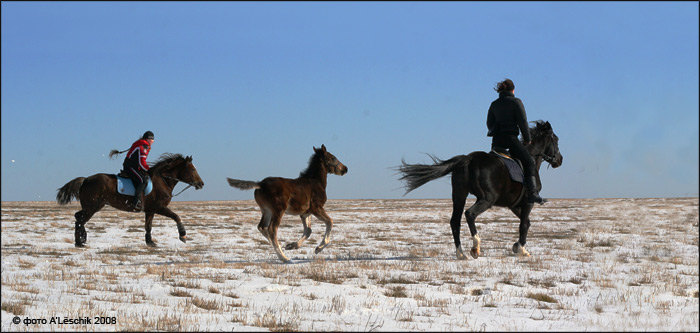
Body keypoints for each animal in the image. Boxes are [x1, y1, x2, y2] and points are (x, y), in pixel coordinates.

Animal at [56, 153, 204, 246]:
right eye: (192, 169)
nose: (201, 184)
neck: (162, 180)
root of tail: (86, 179)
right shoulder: (159, 207)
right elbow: (176, 216)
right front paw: (183, 236)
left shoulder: (150, 210)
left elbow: (148, 226)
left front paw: (150, 242)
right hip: (92, 207)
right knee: (80, 220)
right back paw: (80, 242)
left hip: (92, 206)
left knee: (78, 217)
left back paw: (81, 239)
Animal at [400, 120, 564, 258]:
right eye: (556, 140)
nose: (559, 160)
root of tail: (469, 158)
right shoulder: (528, 202)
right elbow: (524, 224)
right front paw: (522, 250)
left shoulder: (514, 205)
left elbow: (527, 222)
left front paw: (516, 246)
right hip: (486, 199)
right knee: (470, 214)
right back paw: (475, 247)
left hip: (459, 195)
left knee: (455, 221)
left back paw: (461, 254)